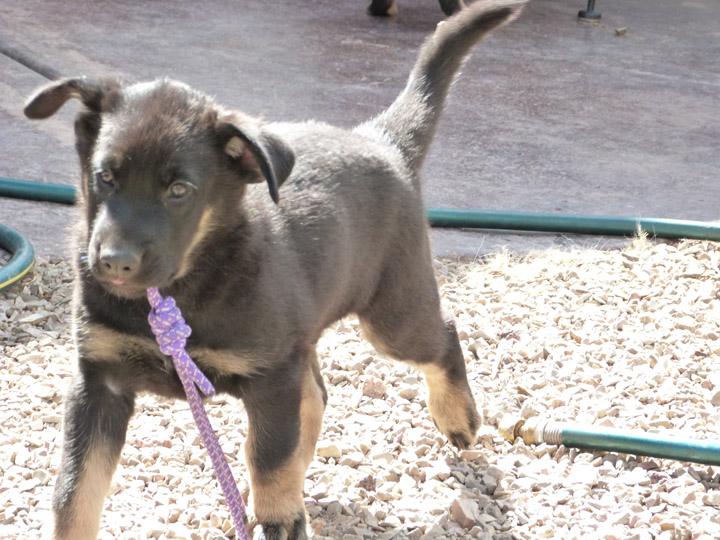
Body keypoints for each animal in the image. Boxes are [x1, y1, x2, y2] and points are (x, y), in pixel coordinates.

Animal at [25, 2, 524, 536]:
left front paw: (279, 516)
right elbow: (75, 492)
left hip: (391, 315)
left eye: (179, 190)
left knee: (441, 337)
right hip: (305, 337)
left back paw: (457, 416)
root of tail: (383, 141)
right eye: (105, 177)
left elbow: (270, 456)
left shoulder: (269, 374)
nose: (114, 263)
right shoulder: (99, 381)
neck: (183, 287)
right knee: (316, 395)